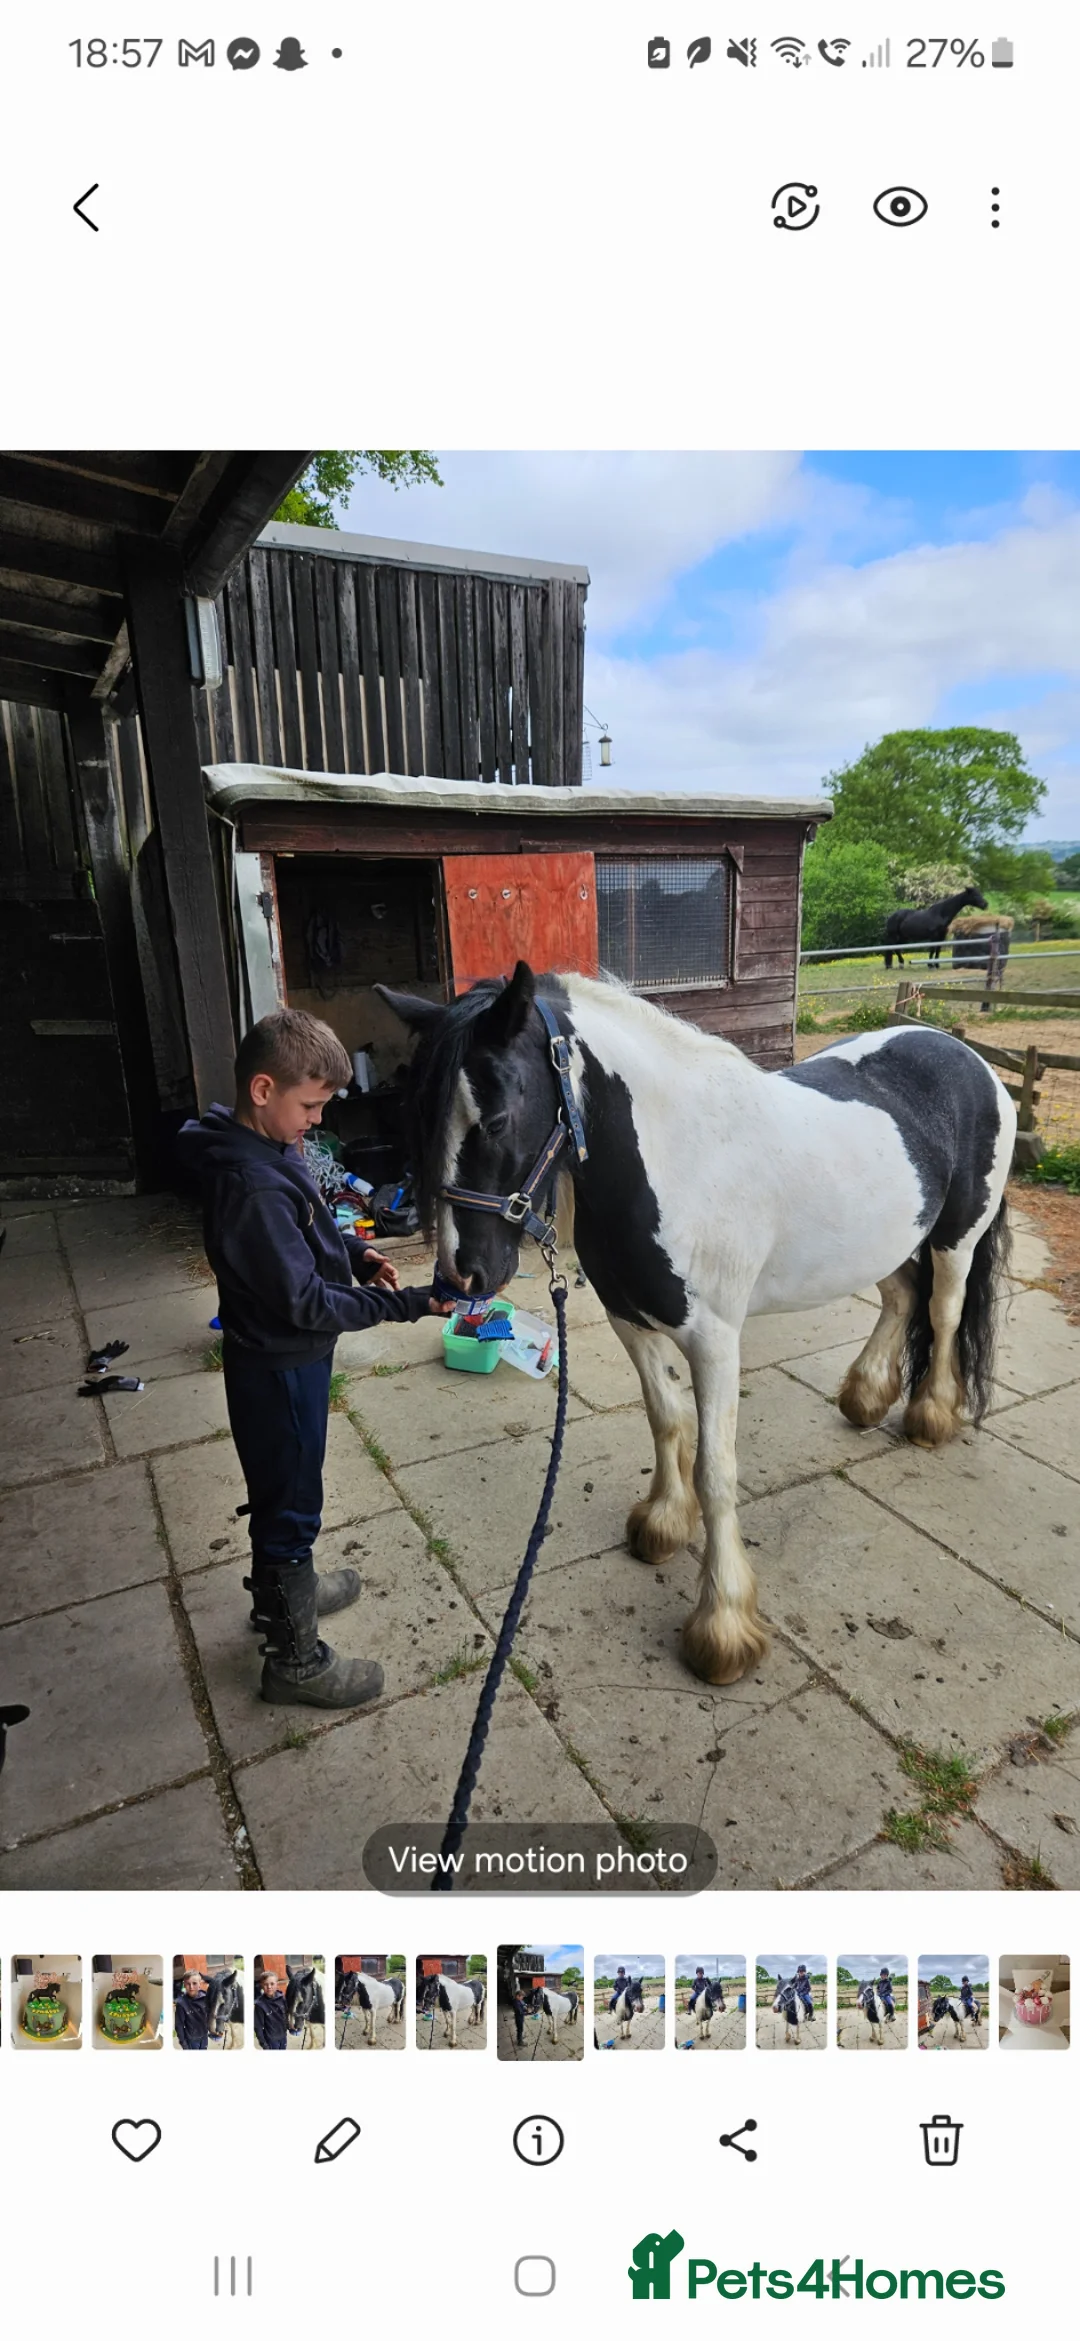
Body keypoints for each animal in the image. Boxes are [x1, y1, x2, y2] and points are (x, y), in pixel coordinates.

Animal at [377, 963, 1013, 1690]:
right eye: (418, 1119)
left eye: (499, 1117)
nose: (462, 1277)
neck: (677, 1161)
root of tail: (964, 1054)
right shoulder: (630, 1321)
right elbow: (665, 1418)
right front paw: (661, 1524)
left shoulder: (714, 1342)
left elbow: (716, 1470)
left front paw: (723, 1625)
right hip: (878, 1246)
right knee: (902, 1296)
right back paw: (866, 1396)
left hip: (957, 1239)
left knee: (943, 1311)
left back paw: (930, 1416)